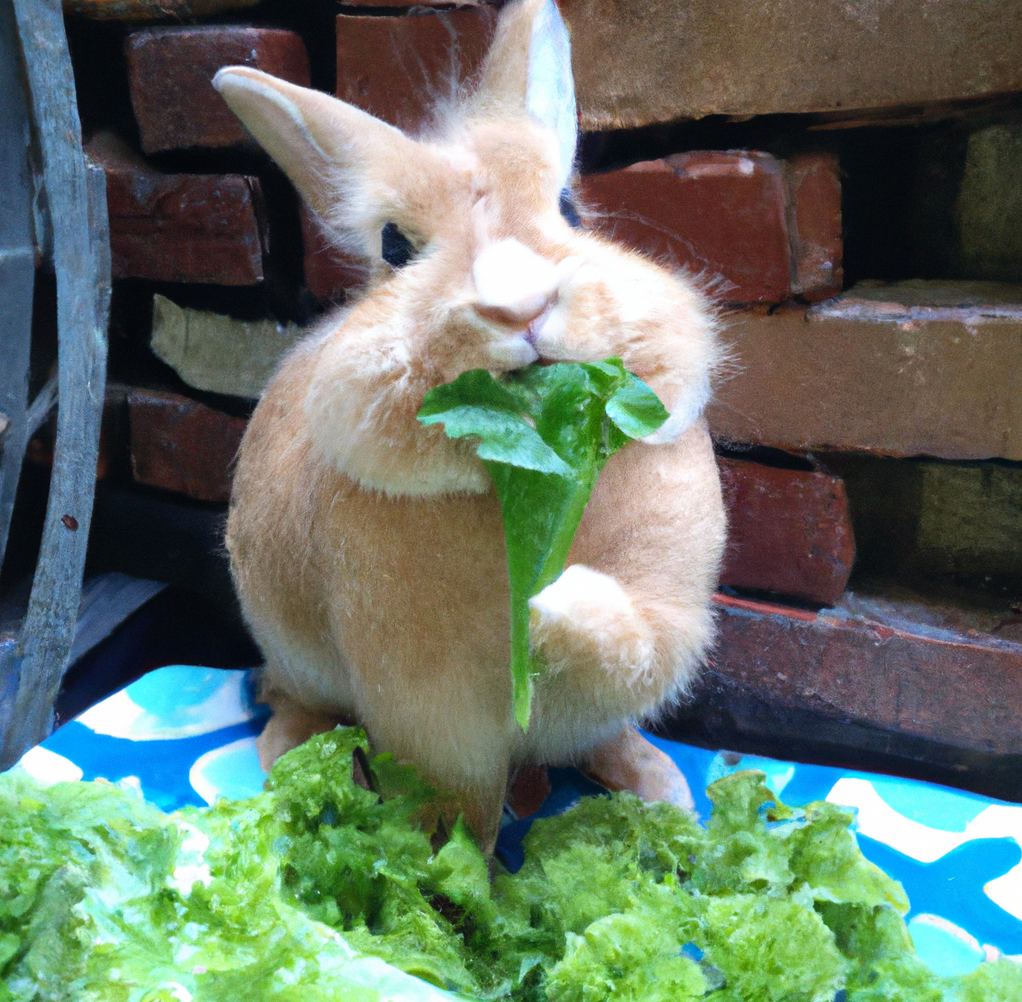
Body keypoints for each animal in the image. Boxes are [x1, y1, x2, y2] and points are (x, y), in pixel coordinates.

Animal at [215, 0, 727, 850]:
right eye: (394, 246)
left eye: (568, 208)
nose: (518, 307)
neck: (523, 479)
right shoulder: (431, 711)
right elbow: (458, 806)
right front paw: (447, 876)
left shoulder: (668, 607)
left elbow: (632, 639)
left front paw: (552, 604)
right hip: (289, 647)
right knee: (294, 701)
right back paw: (291, 760)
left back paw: (664, 794)